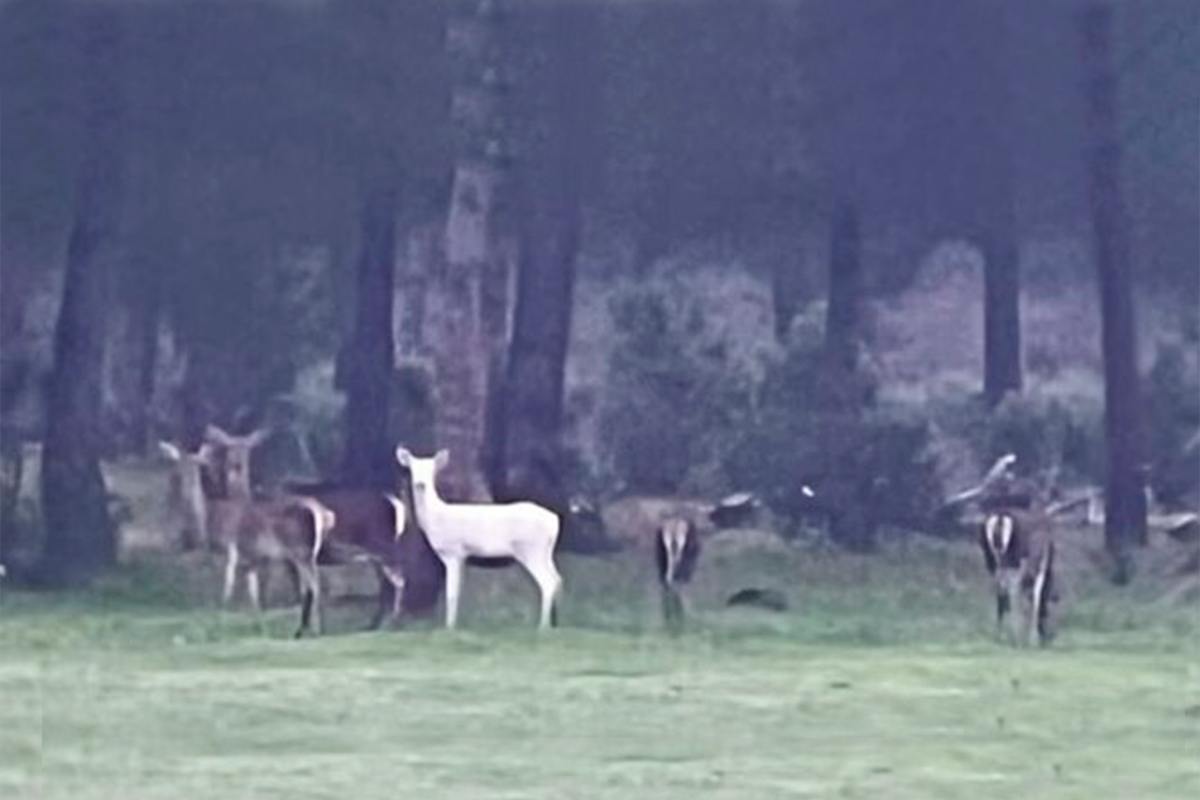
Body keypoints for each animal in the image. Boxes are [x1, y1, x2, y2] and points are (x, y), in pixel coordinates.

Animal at [393, 448, 561, 628]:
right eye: (412, 469)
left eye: (432, 470)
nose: (421, 484)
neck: (436, 518)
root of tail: (554, 521)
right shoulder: (462, 556)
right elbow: (458, 592)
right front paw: (454, 624)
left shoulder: (453, 551)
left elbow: (451, 594)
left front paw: (449, 627)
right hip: (545, 552)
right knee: (557, 579)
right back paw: (553, 624)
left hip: (531, 549)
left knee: (548, 582)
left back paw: (542, 626)